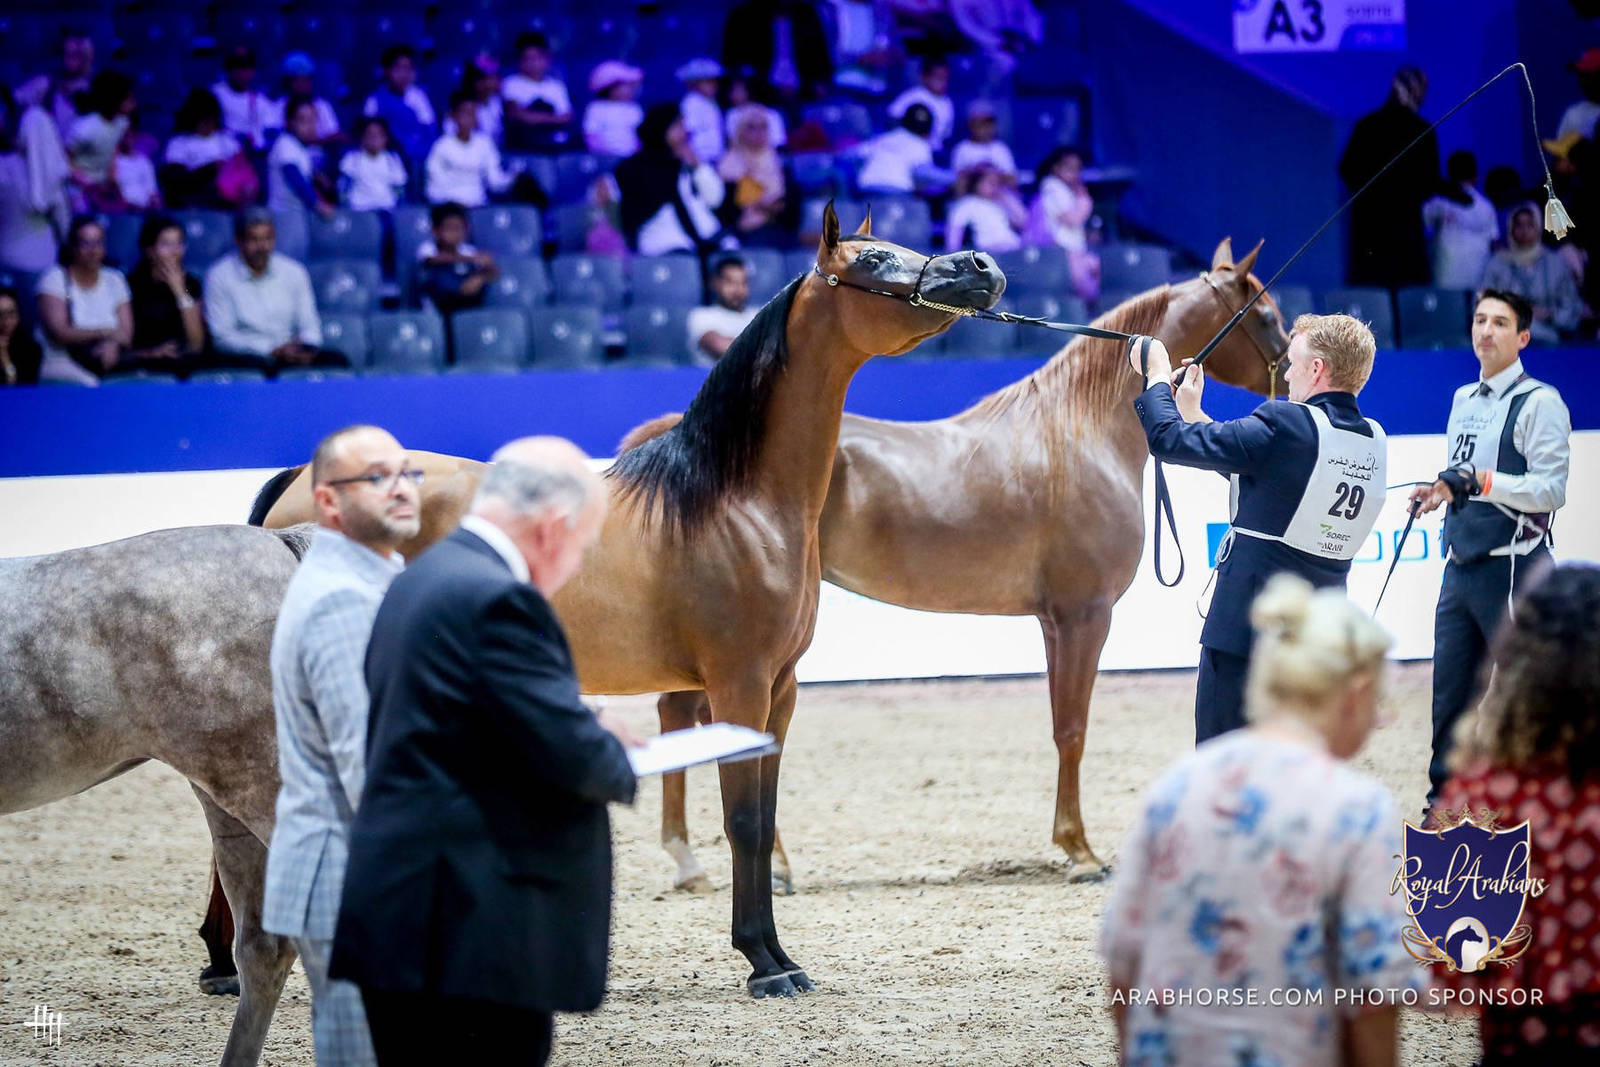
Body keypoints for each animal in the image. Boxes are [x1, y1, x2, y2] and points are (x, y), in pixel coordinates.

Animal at [238, 202, 1006, 998]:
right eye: (875, 259)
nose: (981, 266)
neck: (736, 502)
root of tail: (302, 479)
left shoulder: (781, 690)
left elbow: (762, 815)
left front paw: (781, 956)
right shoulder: (738, 686)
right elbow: (743, 821)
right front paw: (762, 964)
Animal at [654, 238, 1289, 893]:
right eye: (1267, 316)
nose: (1288, 377)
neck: (1079, 433)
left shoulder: (1054, 621)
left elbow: (1063, 724)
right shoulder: (1084, 615)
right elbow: (1073, 728)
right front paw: (1081, 851)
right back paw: (727, 863)